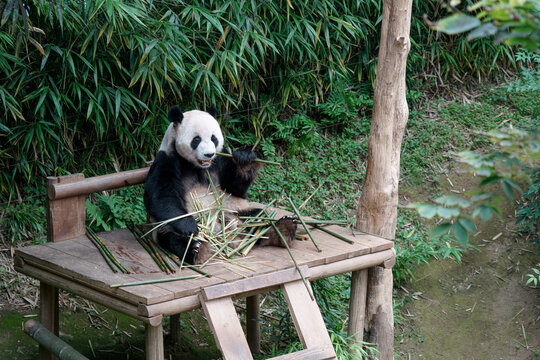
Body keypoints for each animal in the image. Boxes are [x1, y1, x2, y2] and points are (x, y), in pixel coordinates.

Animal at [143, 105, 296, 264]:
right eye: (196, 139)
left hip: (236, 210)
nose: (209, 154)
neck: (199, 166)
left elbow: (234, 189)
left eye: (213, 138)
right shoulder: (167, 159)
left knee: (258, 218)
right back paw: (198, 249)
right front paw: (189, 226)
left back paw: (282, 229)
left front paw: (245, 160)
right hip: (168, 229)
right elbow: (161, 196)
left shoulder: (221, 159)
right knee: (172, 236)